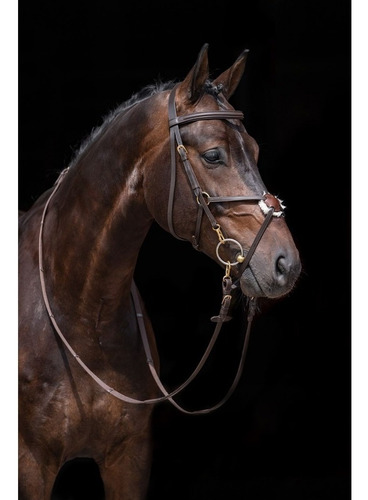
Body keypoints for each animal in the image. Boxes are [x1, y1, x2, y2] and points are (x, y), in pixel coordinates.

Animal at [18, 44, 302, 500]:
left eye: (256, 151)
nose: (285, 263)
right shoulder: (31, 465)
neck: (82, 314)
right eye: (213, 155)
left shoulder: (130, 459)